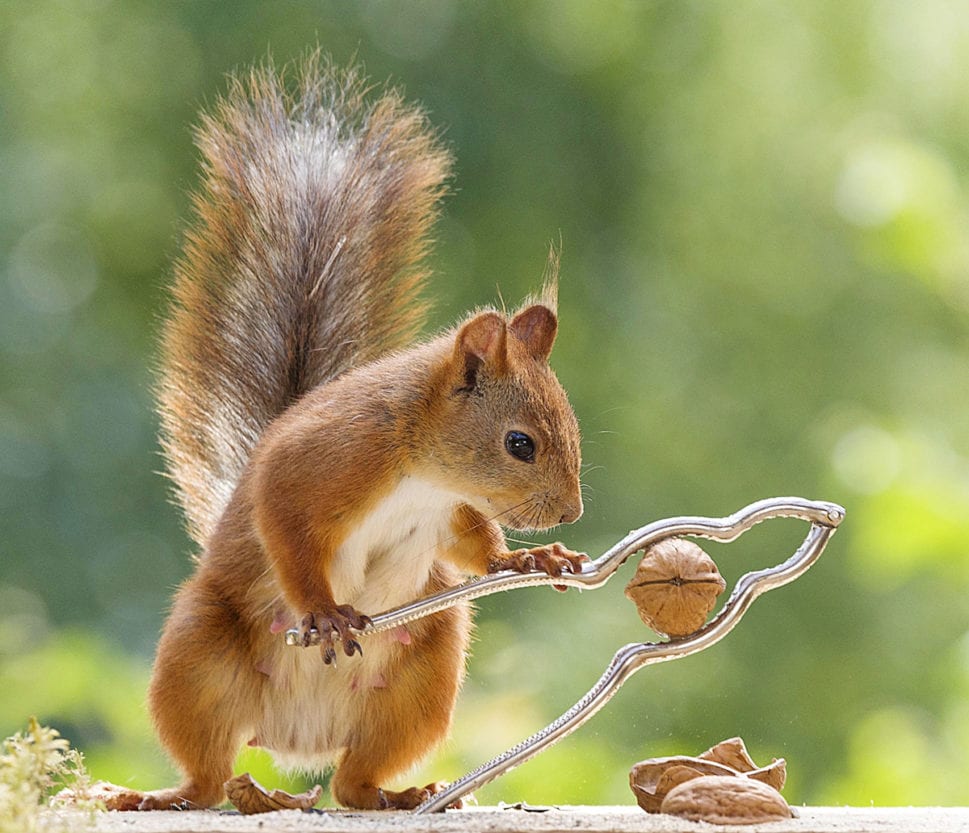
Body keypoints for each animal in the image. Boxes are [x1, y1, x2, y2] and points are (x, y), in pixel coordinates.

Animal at [138, 55, 584, 808]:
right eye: (519, 443)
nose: (571, 513)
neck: (423, 468)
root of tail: (296, 739)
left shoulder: (449, 511)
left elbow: (473, 545)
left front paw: (526, 560)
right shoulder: (321, 461)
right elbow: (287, 528)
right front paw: (323, 610)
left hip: (425, 672)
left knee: (352, 781)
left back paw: (393, 794)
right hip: (198, 656)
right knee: (207, 772)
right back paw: (165, 794)